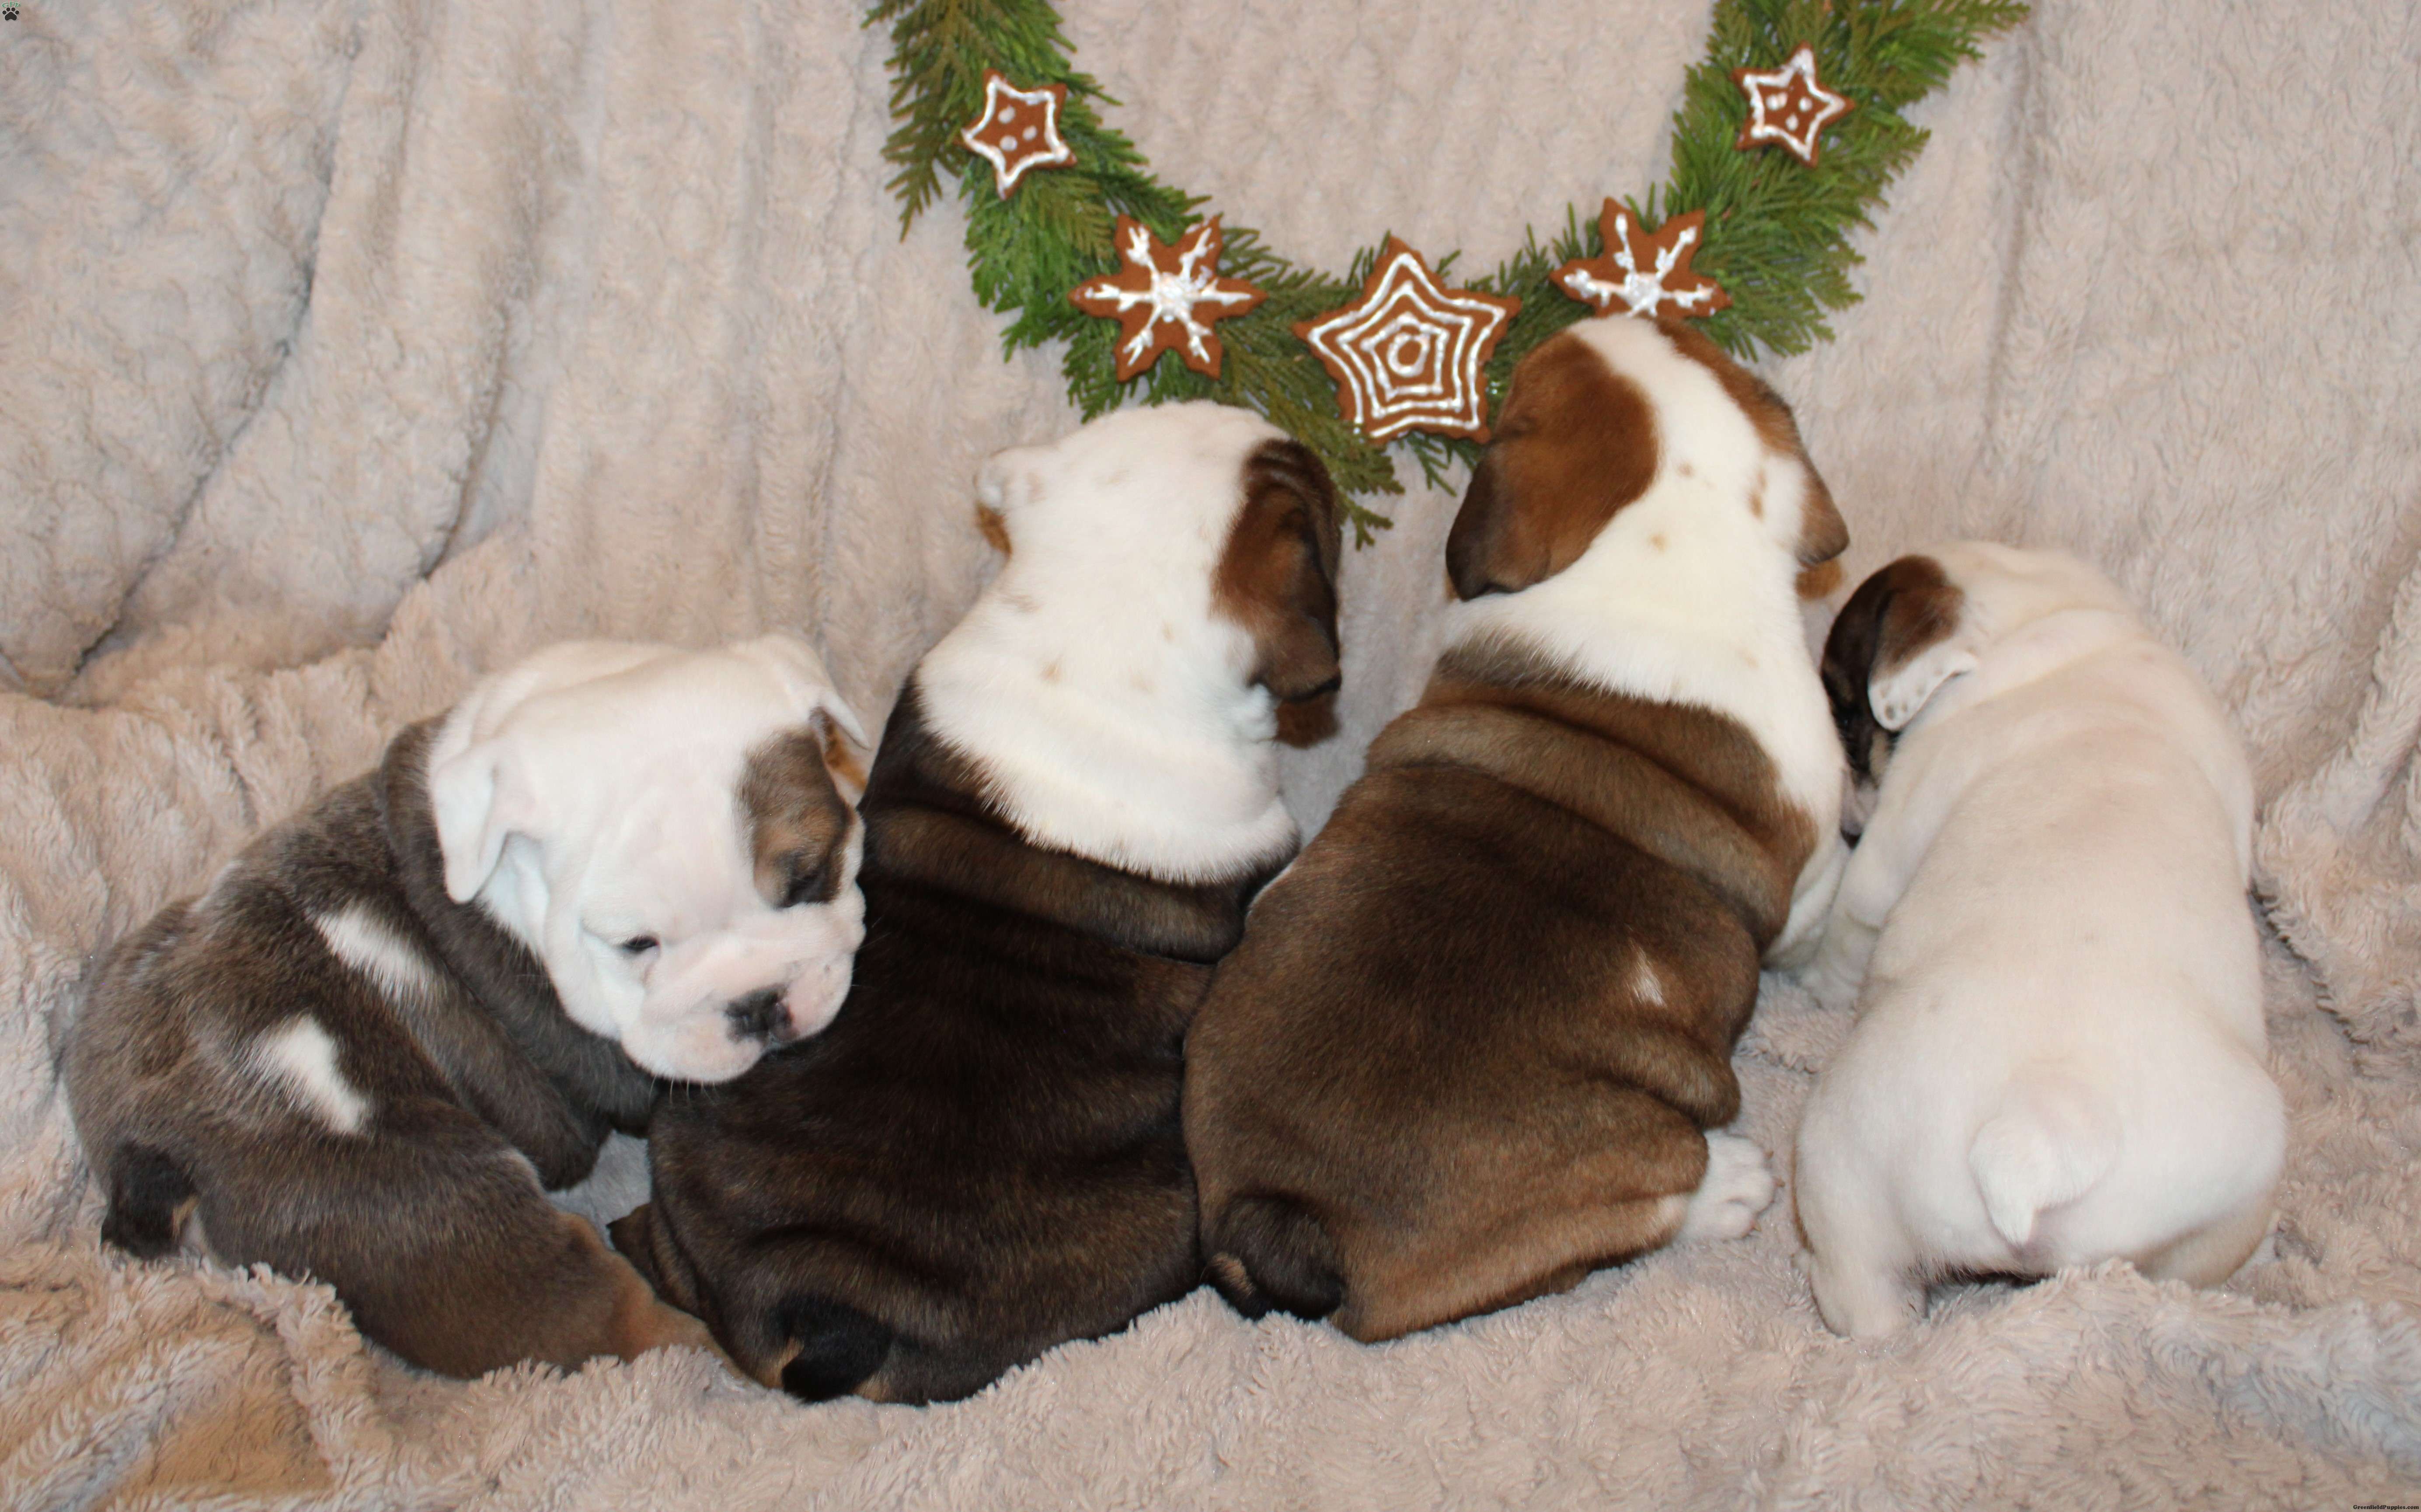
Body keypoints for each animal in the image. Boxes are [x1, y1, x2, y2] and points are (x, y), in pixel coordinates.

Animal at [62, 635, 872, 1377]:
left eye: (808, 877)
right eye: (635, 944)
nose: (758, 1002)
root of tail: (153, 1148)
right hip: (437, 1213)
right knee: (588, 1311)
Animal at [1181, 314, 1851, 1342]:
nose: (1601, 310)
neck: (1663, 544)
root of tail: (1285, 1207)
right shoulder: (1808, 882)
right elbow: (1818, 925)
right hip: (1634, 1155)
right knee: (1655, 1203)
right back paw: (1729, 1184)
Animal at [1794, 543, 2283, 1336]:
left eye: (1841, 707)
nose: (1843, 819)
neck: (2041, 616)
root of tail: (2047, 1124)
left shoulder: (1889, 848)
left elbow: (1851, 925)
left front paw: (1820, 990)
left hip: (1838, 1168)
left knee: (1864, 1303)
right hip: (2234, 1183)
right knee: (2197, 1266)